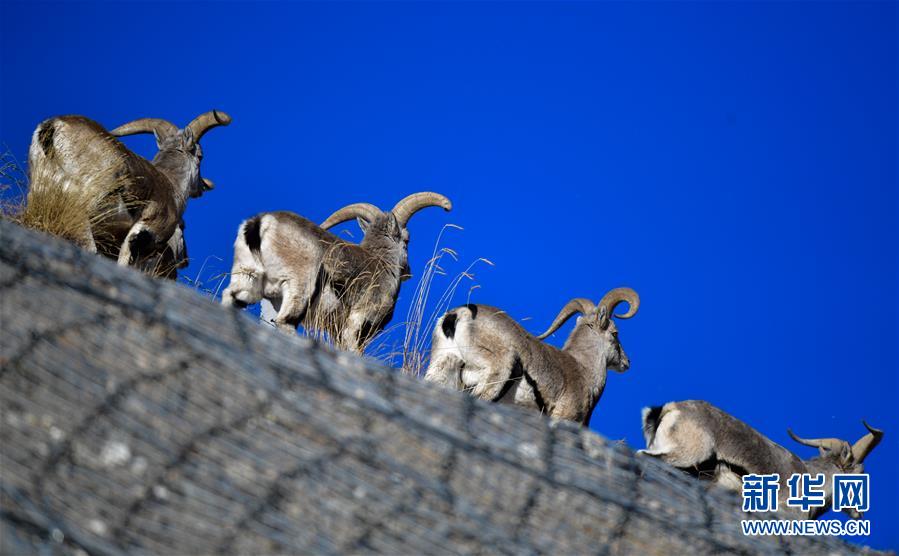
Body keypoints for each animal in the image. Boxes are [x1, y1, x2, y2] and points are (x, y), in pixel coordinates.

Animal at [222, 191, 454, 352]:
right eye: (406, 240)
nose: (408, 272)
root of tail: (262, 223)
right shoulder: (356, 324)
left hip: (254, 285)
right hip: (298, 288)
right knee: (285, 322)